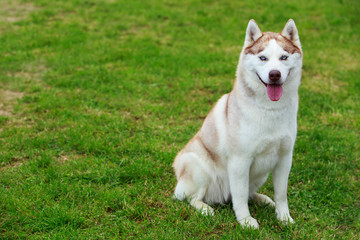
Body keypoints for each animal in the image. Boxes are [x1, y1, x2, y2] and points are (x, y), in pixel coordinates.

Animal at [173, 19, 302, 229]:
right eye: (263, 58)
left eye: (284, 57)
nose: (274, 74)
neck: (269, 110)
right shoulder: (240, 161)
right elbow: (240, 196)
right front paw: (245, 221)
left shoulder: (284, 158)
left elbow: (281, 194)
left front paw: (284, 217)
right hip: (197, 166)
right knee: (192, 198)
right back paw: (205, 209)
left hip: (261, 174)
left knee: (249, 193)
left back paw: (263, 199)